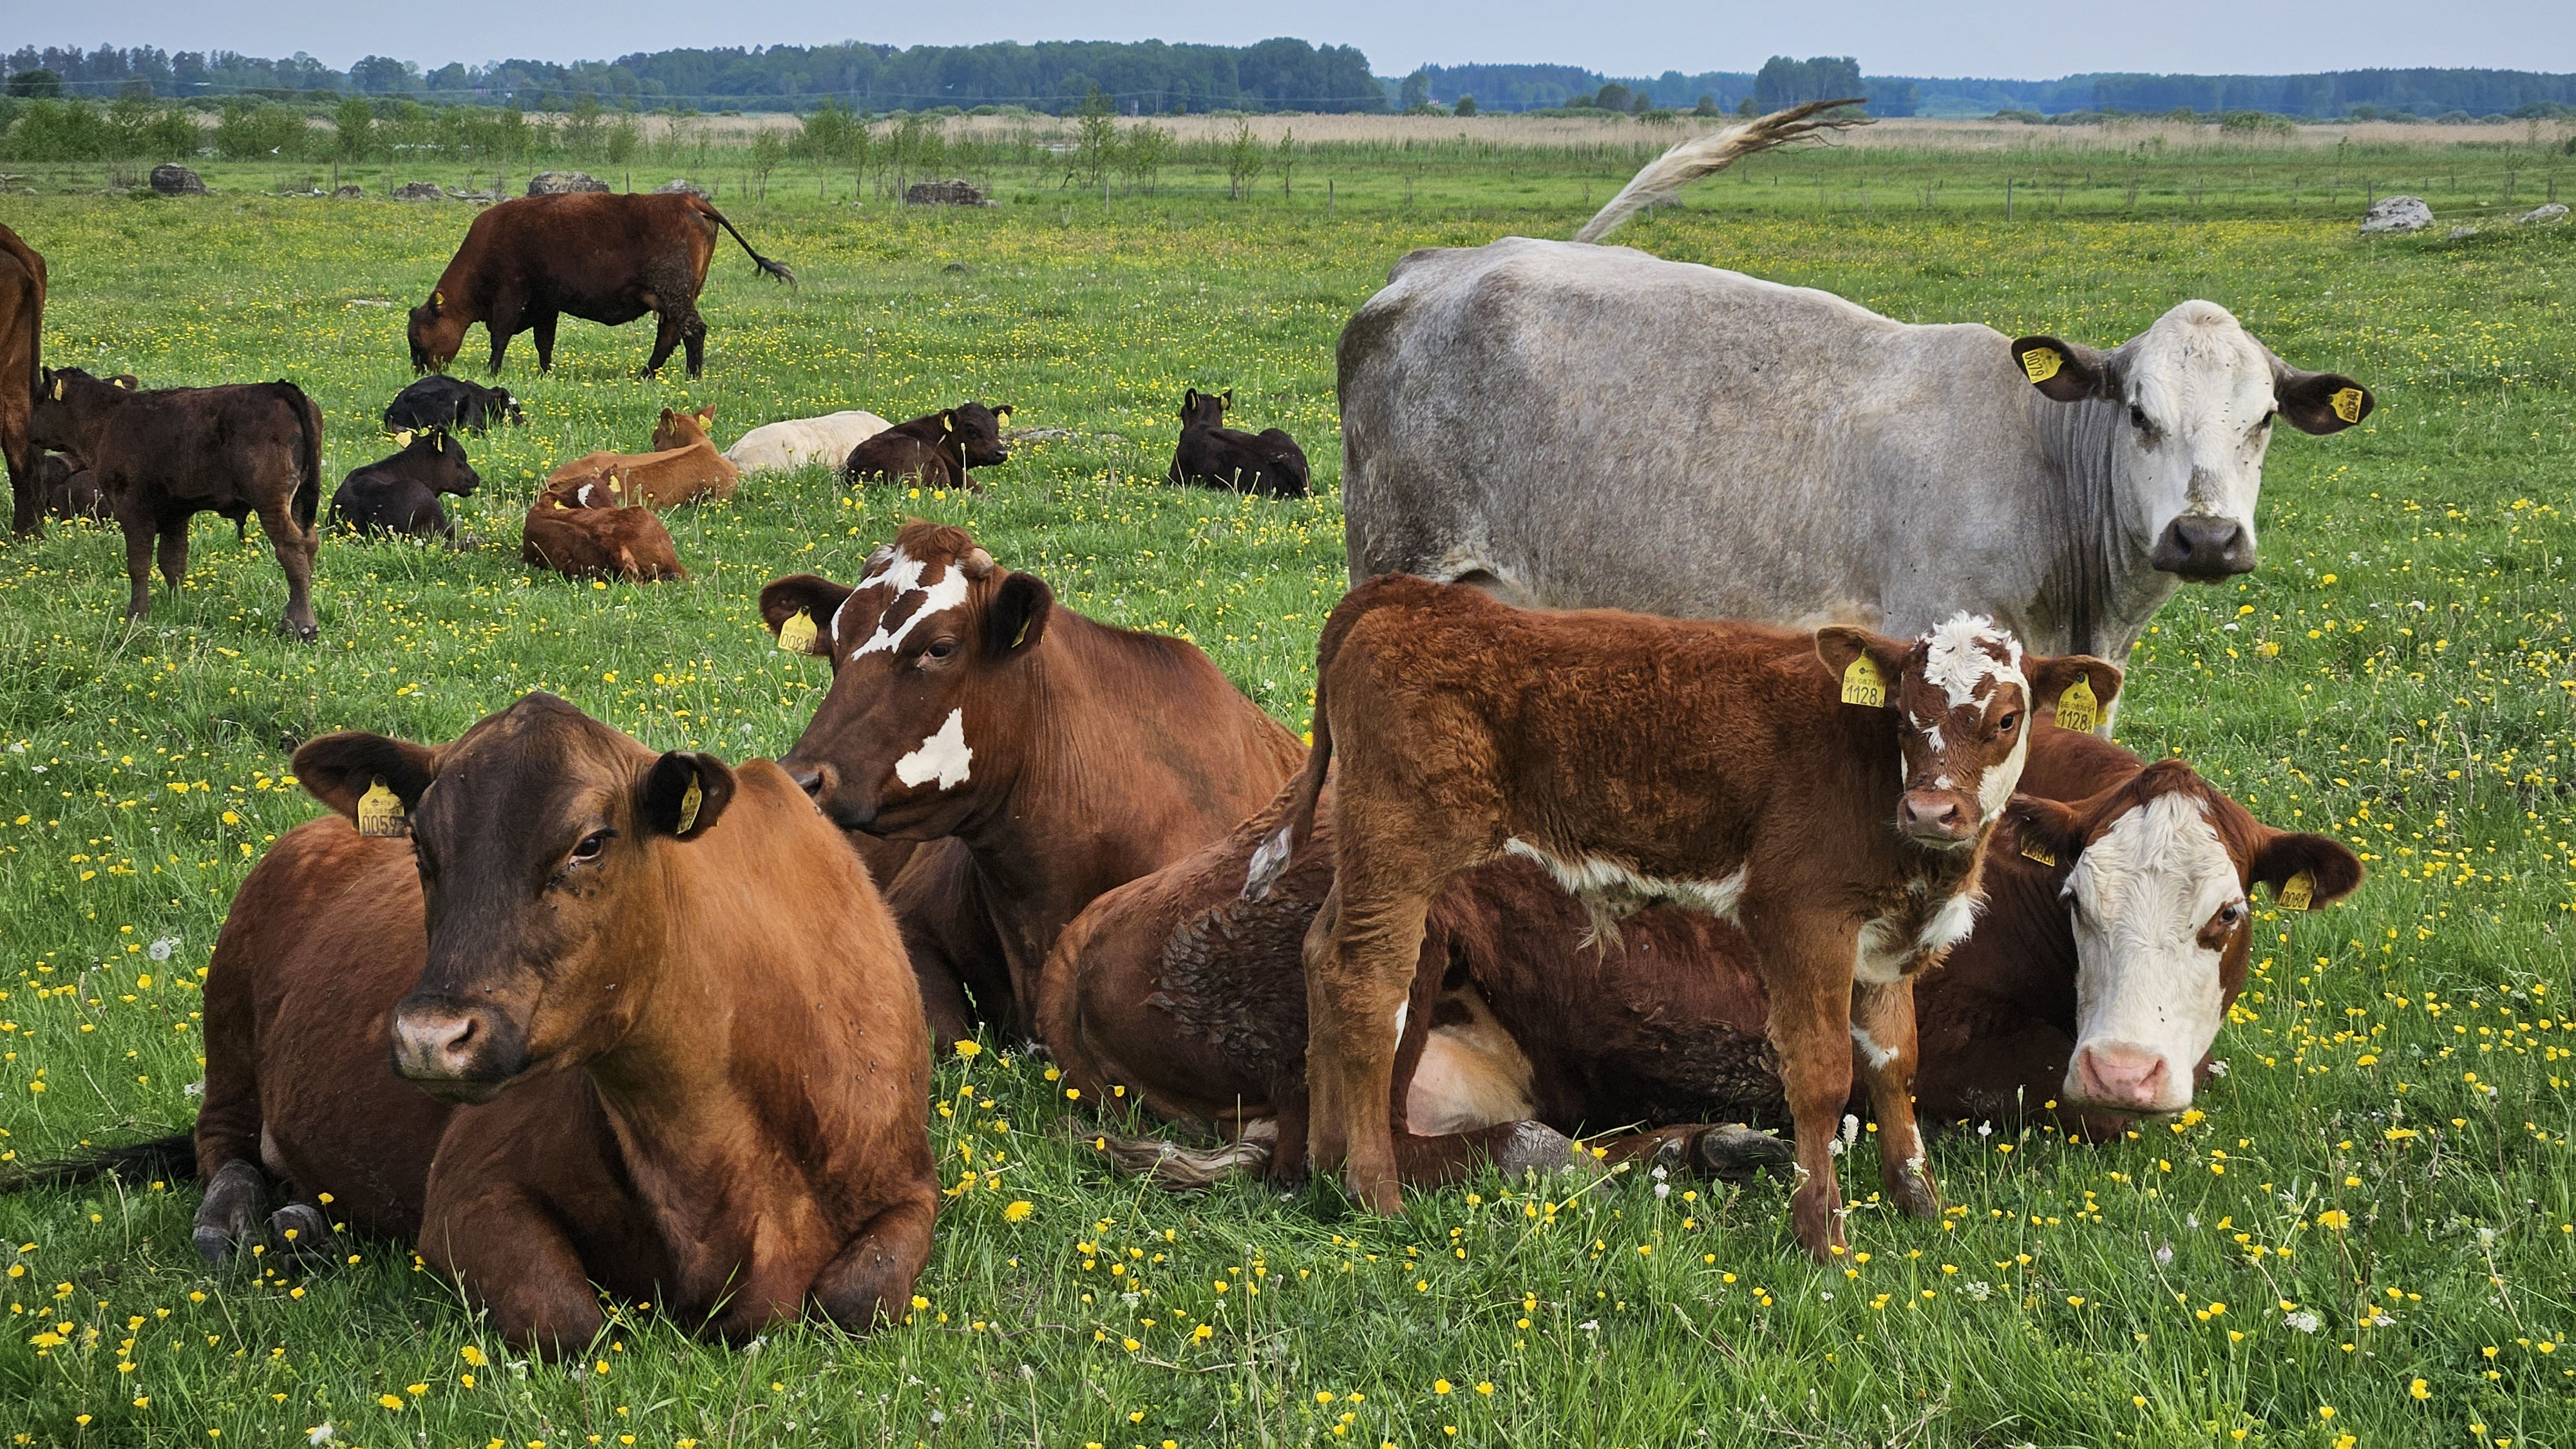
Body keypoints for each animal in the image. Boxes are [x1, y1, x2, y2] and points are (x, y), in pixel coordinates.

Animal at [24, 694, 935, 1355]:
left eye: (591, 843)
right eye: (422, 847)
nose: (430, 1038)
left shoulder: (910, 1187)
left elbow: (856, 1298)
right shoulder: (470, 1190)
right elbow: (571, 1322)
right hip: (230, 1025)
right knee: (225, 1148)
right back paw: (252, 1222)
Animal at [28, 367, 324, 640]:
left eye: (40, 399)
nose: (29, 432)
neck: (108, 418)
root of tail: (277, 388)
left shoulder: (133, 510)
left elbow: (139, 564)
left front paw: (137, 614)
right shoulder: (176, 513)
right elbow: (173, 562)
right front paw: (177, 605)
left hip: (272, 504)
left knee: (292, 550)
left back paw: (302, 626)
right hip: (298, 501)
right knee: (309, 545)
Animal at [408, 192, 793, 379]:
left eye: (418, 339)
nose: (418, 370)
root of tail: (686, 199)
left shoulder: (511, 295)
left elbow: (500, 337)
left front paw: (493, 372)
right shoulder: (546, 305)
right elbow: (544, 342)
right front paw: (545, 373)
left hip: (675, 294)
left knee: (692, 330)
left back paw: (691, 377)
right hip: (677, 297)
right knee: (671, 334)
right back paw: (645, 375)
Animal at [1042, 723, 2361, 1196]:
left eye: (2227, 915)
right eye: (2083, 900)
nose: (2125, 1069)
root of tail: (1081, 933)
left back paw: (1712, 1142)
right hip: (1401, 934)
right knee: (1342, 1154)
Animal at [1255, 574, 2115, 1258]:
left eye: (2006, 719)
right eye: (1904, 713)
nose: (1932, 810)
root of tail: (1412, 595)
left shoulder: (1884, 942)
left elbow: (1893, 1063)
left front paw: (1919, 1205)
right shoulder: (1800, 918)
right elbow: (1821, 1076)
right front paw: (1822, 1236)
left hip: (1370, 858)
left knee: (1320, 954)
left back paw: (1326, 1164)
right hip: (1401, 848)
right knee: (1368, 987)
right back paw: (1375, 1191)